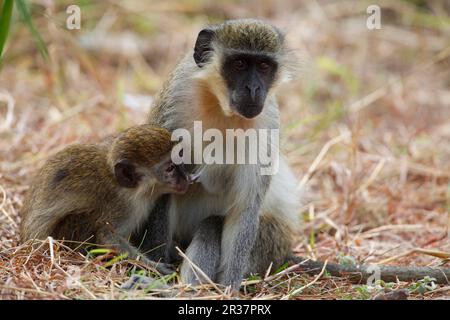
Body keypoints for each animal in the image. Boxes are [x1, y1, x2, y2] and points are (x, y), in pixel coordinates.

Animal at [20, 124, 194, 272]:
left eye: (180, 160)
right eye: (170, 168)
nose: (186, 178)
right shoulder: (122, 207)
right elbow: (107, 238)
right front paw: (154, 267)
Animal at [143, 18, 298, 288]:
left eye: (264, 66)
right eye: (239, 64)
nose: (253, 88)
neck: (220, 106)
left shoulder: (266, 123)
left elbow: (245, 209)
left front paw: (228, 289)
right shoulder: (175, 98)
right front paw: (155, 267)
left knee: (213, 223)